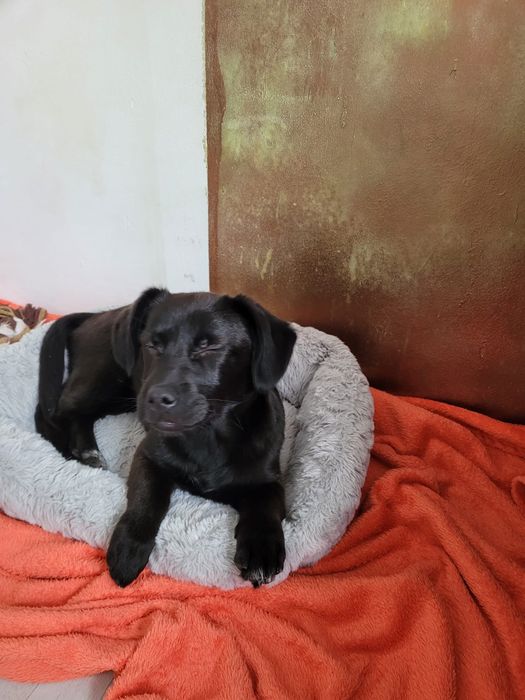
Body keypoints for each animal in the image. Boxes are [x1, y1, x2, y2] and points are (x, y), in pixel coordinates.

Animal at [35, 289, 297, 587]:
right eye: (151, 345)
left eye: (209, 347)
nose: (157, 399)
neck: (208, 436)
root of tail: (97, 315)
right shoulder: (148, 455)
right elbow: (147, 498)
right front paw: (128, 549)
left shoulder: (267, 478)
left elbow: (266, 505)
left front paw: (261, 550)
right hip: (106, 380)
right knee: (54, 409)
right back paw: (66, 450)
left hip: (122, 396)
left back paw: (85, 451)